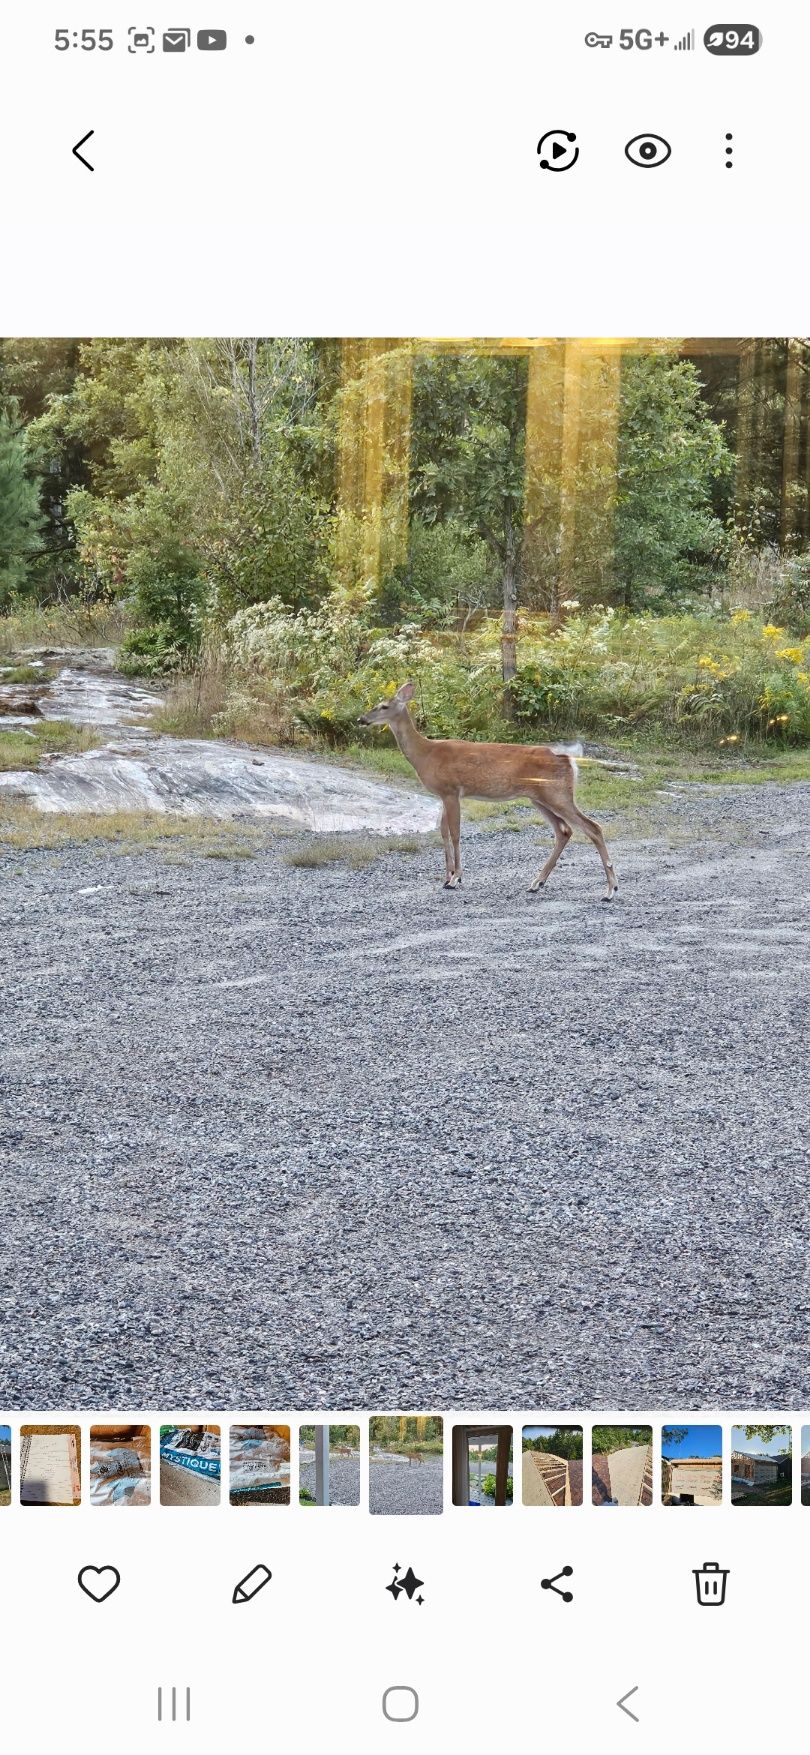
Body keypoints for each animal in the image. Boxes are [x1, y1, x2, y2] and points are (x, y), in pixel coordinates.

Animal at [358, 681, 618, 900]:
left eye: (383, 706)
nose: (361, 719)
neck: (426, 754)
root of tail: (569, 759)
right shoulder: (443, 795)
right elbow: (443, 832)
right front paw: (447, 877)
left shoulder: (452, 790)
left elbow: (455, 833)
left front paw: (456, 878)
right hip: (539, 797)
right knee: (564, 830)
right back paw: (537, 883)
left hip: (557, 794)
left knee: (593, 827)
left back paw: (610, 890)